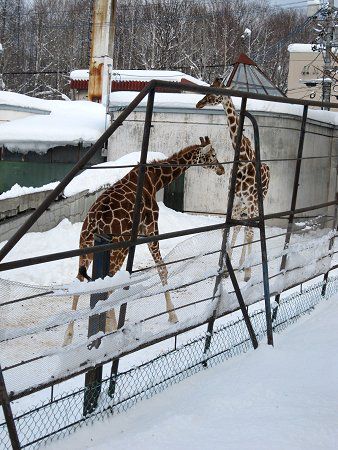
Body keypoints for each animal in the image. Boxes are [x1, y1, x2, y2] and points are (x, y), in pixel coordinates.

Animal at [63, 136, 226, 344]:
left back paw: (68, 337)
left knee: (79, 282)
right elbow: (162, 269)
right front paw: (173, 316)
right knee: (107, 284)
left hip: (85, 247)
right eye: (213, 154)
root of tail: (93, 224)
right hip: (117, 249)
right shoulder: (151, 228)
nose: (221, 170)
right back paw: (111, 330)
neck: (155, 180)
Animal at [195, 77, 270, 282]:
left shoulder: (250, 201)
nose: (199, 103)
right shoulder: (233, 199)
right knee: (239, 227)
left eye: (216, 92)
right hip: (241, 205)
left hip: (256, 202)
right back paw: (239, 264)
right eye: (208, 88)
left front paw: (247, 273)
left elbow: (250, 231)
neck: (243, 157)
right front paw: (223, 268)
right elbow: (226, 228)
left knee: (250, 229)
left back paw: (245, 266)